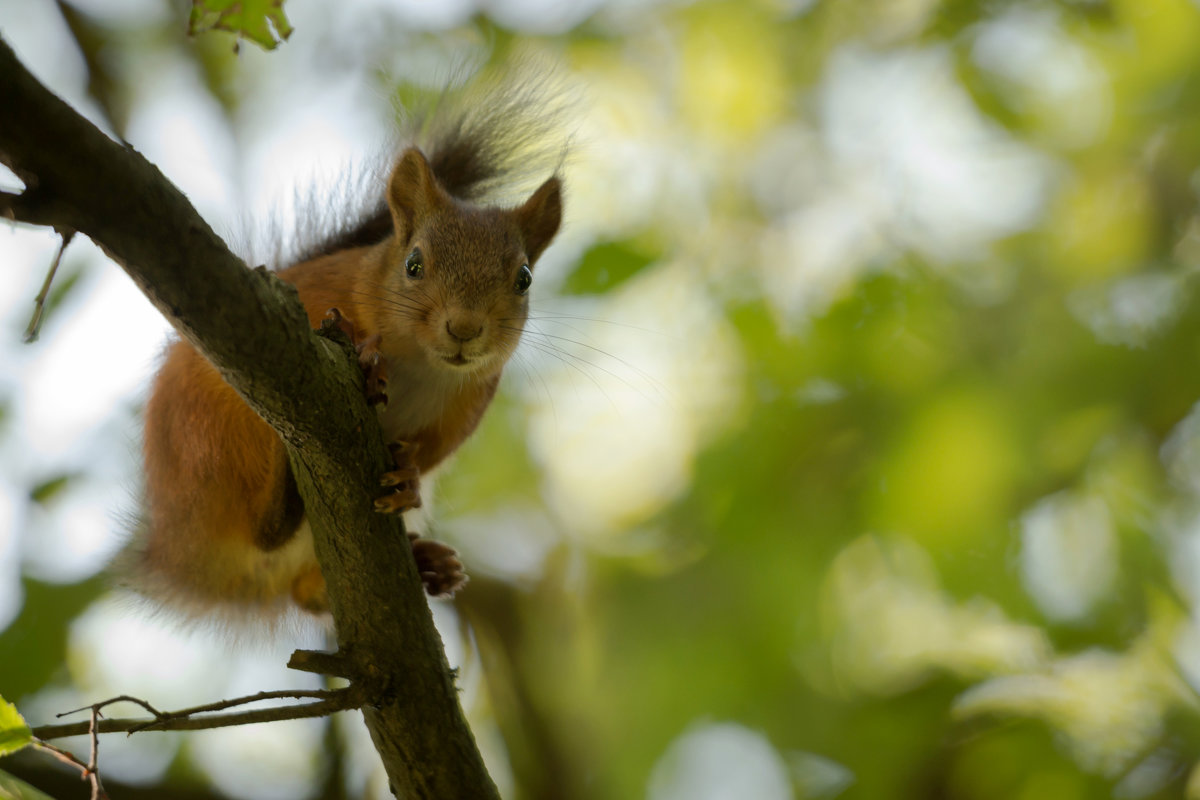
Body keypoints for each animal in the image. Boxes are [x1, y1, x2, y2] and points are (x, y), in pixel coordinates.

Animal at [120, 77, 566, 623]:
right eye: (414, 264)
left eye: (524, 279)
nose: (464, 328)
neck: (421, 365)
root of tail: (182, 552)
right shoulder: (313, 296)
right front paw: (367, 356)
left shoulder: (466, 406)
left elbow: (431, 453)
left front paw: (409, 478)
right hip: (206, 433)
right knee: (263, 527)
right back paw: (282, 478)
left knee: (307, 593)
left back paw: (428, 564)